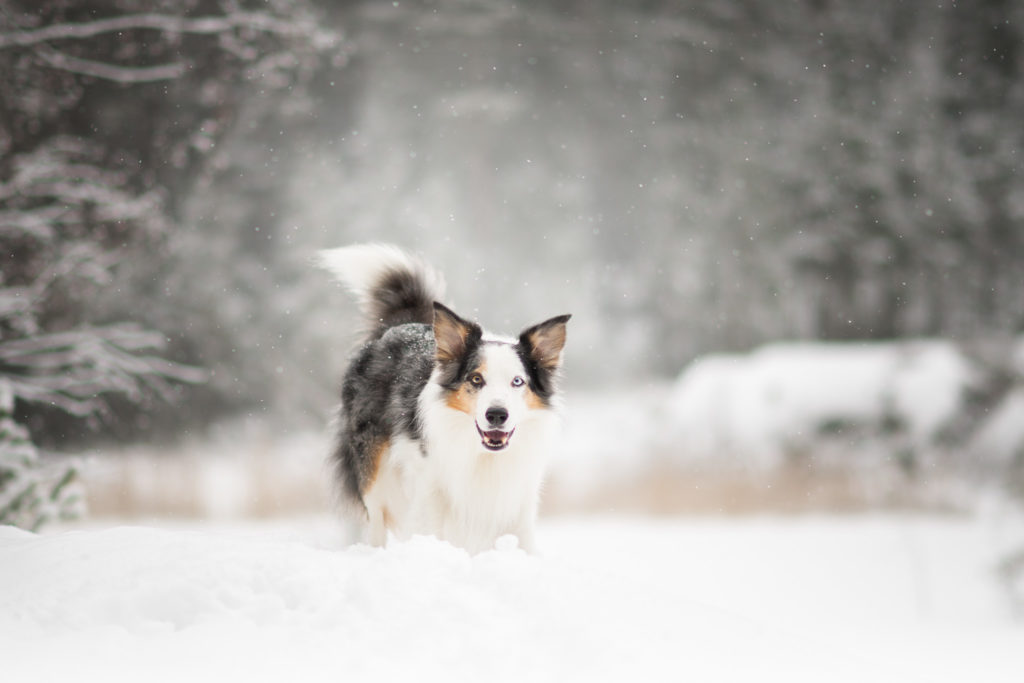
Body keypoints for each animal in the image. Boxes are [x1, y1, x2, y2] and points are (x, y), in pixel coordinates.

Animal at [317, 242, 569, 552]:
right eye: (476, 379)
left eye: (517, 381)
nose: (497, 415)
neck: (483, 456)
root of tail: (401, 325)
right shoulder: (432, 489)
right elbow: (432, 532)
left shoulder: (519, 495)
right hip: (372, 465)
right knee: (376, 519)